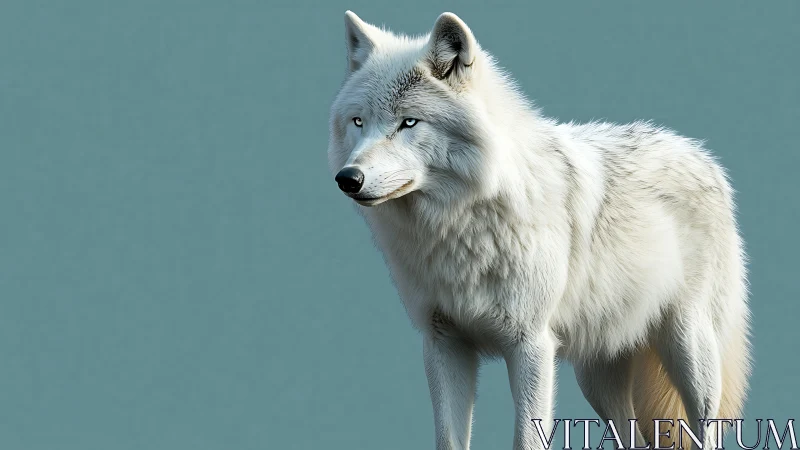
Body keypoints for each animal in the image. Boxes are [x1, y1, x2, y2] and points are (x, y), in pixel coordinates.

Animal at [327, 11, 751, 450]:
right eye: (358, 122)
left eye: (408, 123)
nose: (348, 178)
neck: (458, 226)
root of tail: (701, 153)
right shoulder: (443, 343)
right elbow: (449, 438)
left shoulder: (531, 344)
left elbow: (528, 437)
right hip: (597, 377)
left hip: (689, 348)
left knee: (707, 427)